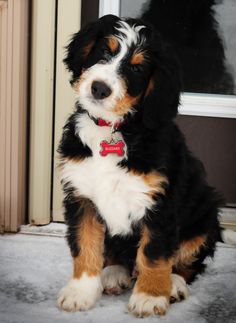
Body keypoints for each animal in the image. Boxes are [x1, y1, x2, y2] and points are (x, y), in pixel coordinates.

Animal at [56, 14, 222, 316]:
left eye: (136, 68)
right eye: (104, 50)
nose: (99, 88)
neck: (112, 129)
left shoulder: (160, 203)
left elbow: (154, 254)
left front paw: (150, 297)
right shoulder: (82, 196)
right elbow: (85, 247)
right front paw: (80, 292)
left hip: (205, 215)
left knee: (187, 263)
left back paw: (174, 284)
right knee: (115, 255)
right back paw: (113, 274)